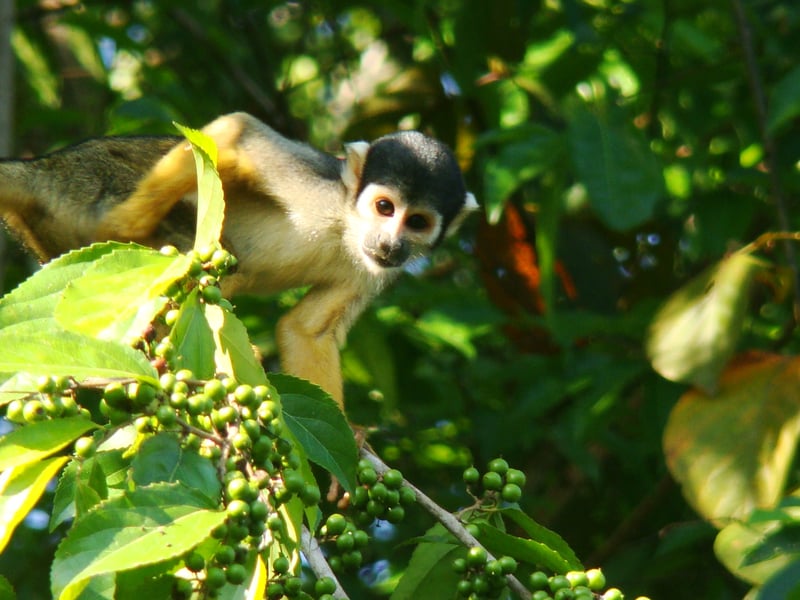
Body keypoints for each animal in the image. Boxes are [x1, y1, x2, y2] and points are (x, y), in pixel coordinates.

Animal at [0, 112, 478, 409]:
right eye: (384, 207)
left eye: (416, 222)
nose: (390, 242)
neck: (347, 226)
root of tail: (47, 166)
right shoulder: (315, 190)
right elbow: (239, 130)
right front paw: (126, 221)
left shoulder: (376, 273)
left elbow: (306, 331)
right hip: (91, 183)